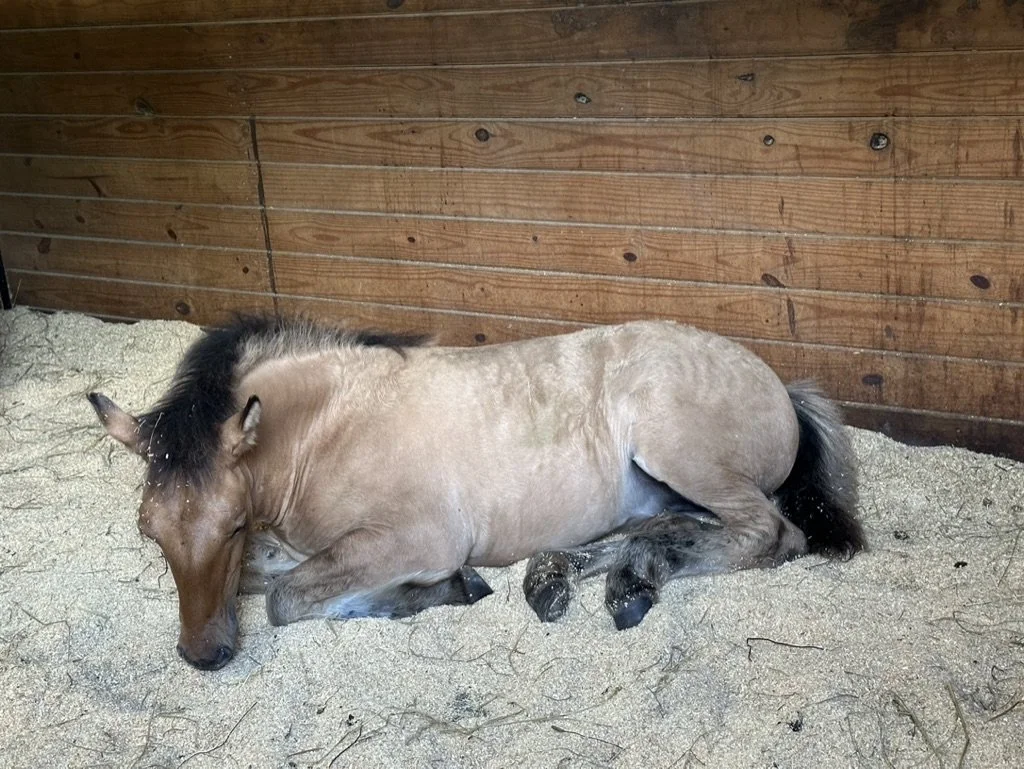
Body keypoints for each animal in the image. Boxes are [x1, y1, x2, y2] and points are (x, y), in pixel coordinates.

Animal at [88, 315, 864, 670]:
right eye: (149, 531)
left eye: (229, 523)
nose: (205, 654)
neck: (327, 430)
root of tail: (781, 385)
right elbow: (267, 577)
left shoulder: (416, 537)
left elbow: (284, 598)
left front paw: (440, 591)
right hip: (664, 489)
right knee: (663, 529)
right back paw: (586, 578)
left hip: (683, 455)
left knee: (769, 533)